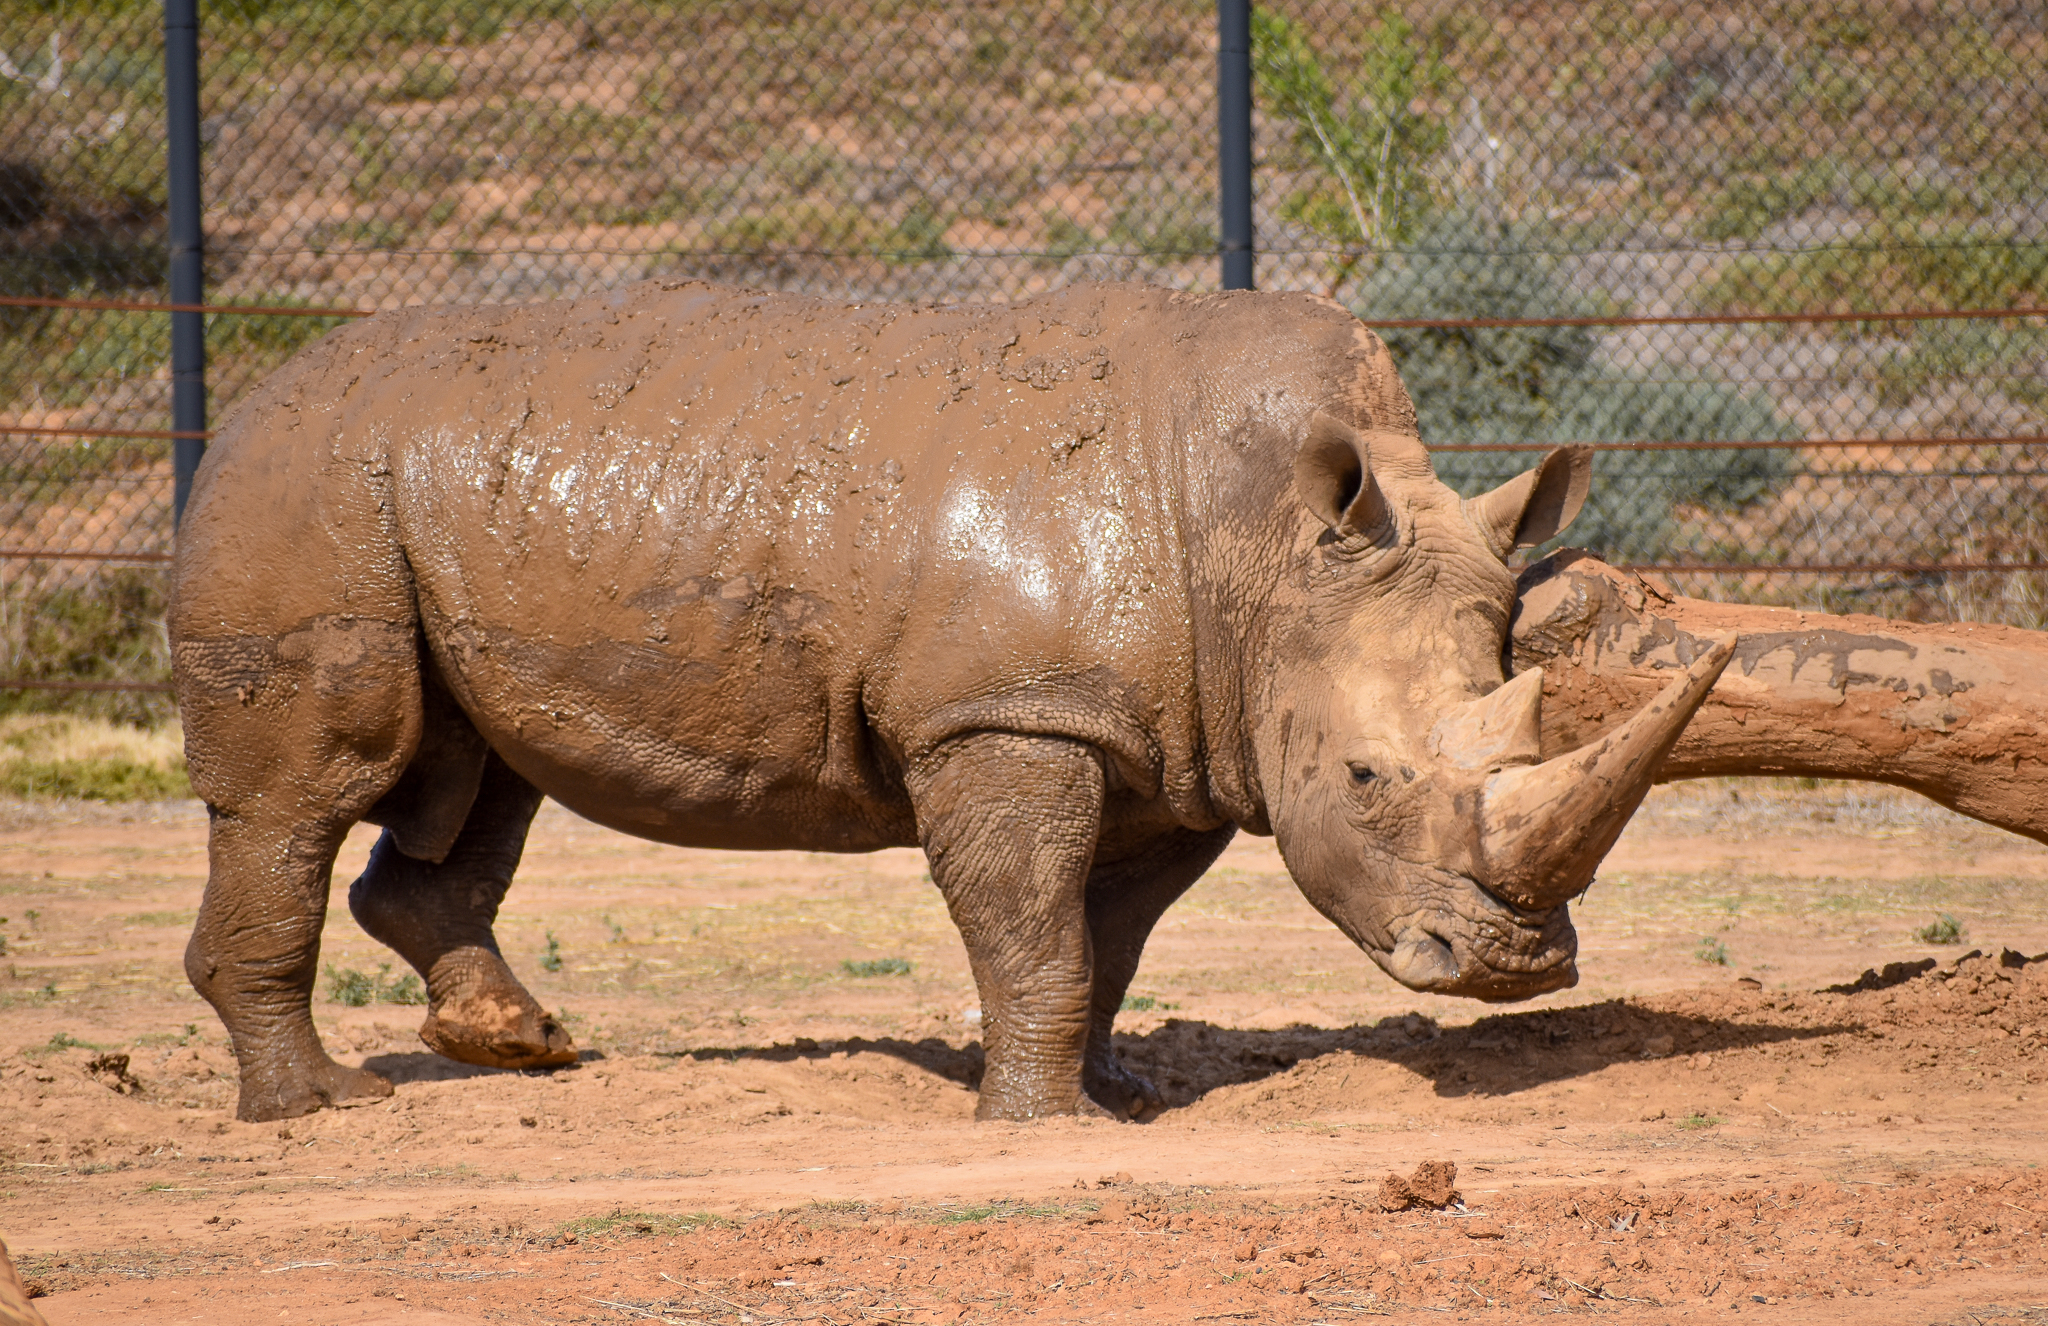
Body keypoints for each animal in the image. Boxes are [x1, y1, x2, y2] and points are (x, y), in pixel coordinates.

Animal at [172, 281, 1732, 1123]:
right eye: (1361, 779)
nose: (1512, 967)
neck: (1261, 546)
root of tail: (239, 399)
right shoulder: (1009, 712)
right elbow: (1029, 918)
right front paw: (1042, 1123)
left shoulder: (1170, 736)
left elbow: (1108, 933)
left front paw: (1104, 1095)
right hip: (306, 488)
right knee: (314, 787)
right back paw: (327, 1107)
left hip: (412, 502)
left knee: (474, 772)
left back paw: (521, 1048)